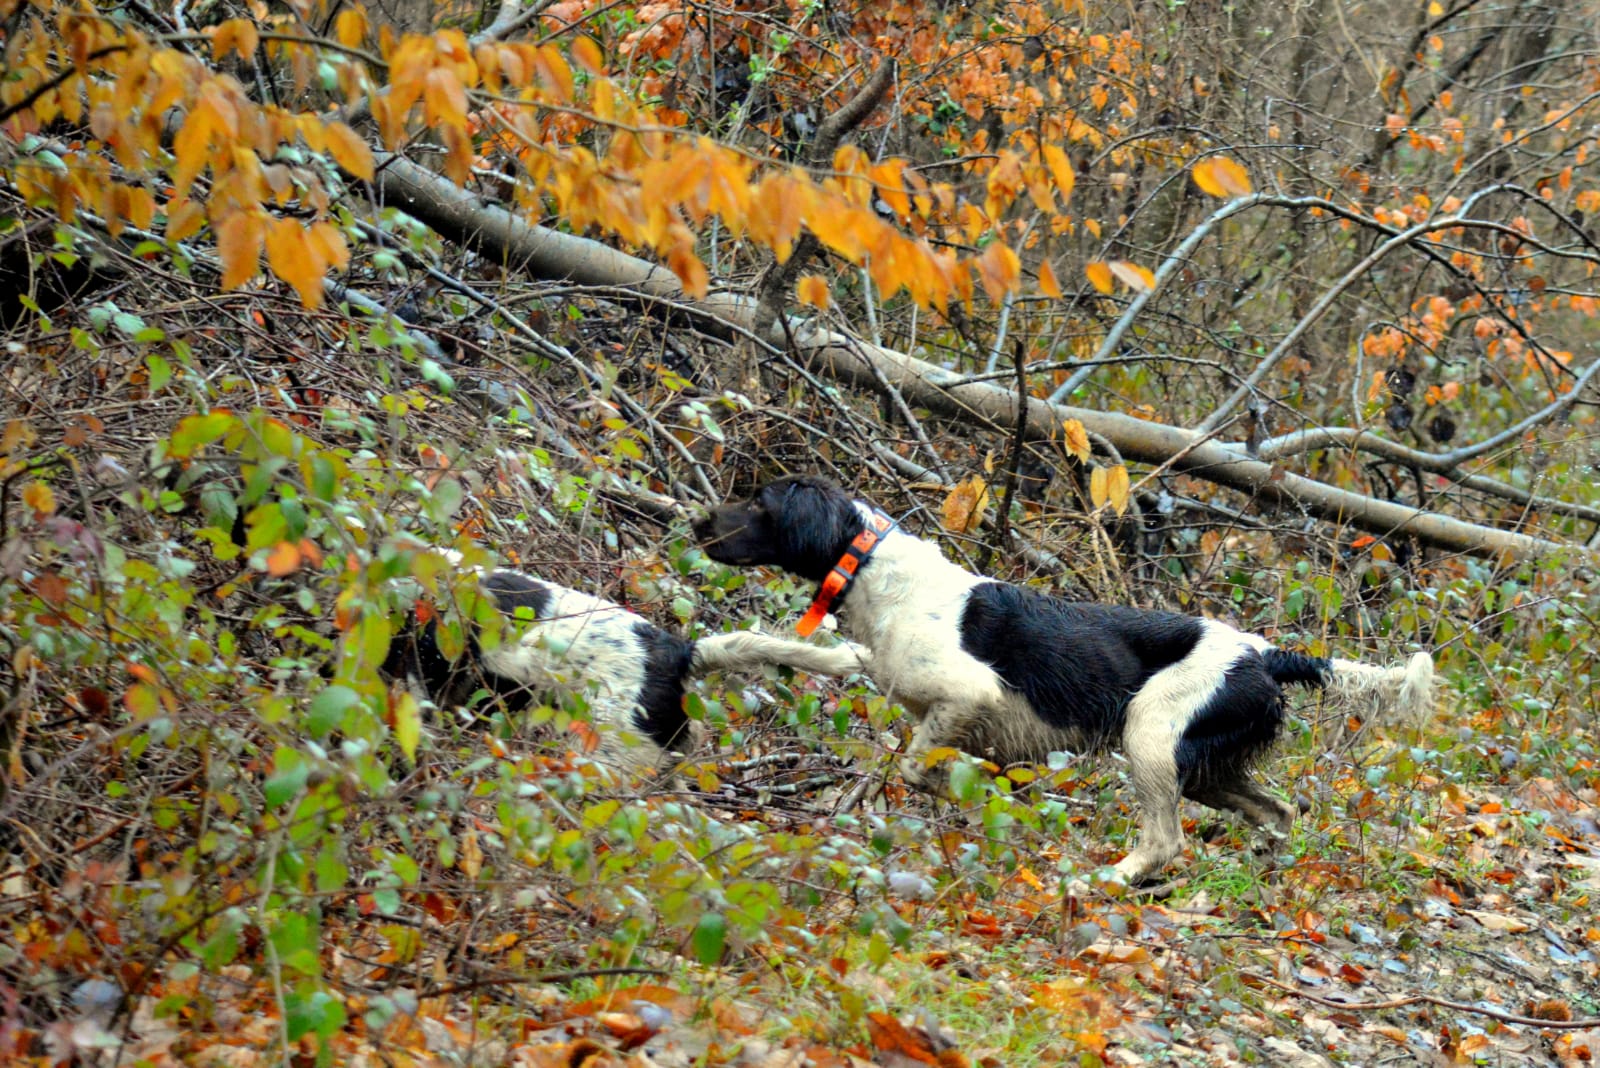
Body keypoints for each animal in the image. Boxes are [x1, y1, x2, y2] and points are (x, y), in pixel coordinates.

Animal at [694, 476, 1433, 882]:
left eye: (757, 502)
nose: (699, 520)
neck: (877, 573)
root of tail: (1262, 651)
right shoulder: (889, 677)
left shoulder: (971, 694)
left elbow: (916, 767)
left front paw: (967, 799)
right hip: (1206, 769)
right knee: (1280, 813)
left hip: (1150, 739)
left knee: (1164, 840)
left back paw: (1112, 877)